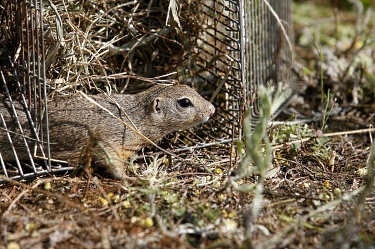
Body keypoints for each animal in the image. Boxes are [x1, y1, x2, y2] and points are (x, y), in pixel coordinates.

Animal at [0, 84, 216, 180]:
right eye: (185, 102)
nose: (212, 109)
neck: (134, 116)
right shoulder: (108, 142)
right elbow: (112, 163)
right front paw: (131, 178)